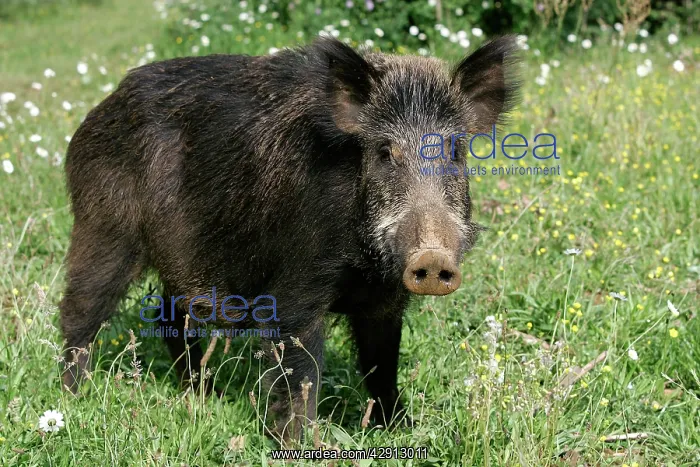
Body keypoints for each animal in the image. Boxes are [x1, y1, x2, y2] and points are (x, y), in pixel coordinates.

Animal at [59, 35, 520, 440]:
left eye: (456, 151)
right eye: (385, 152)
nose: (433, 258)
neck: (364, 264)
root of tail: (103, 106)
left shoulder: (386, 302)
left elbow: (382, 367)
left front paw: (401, 429)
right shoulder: (296, 290)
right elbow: (301, 376)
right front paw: (300, 444)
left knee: (168, 316)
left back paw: (206, 396)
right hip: (104, 227)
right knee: (81, 309)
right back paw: (73, 397)